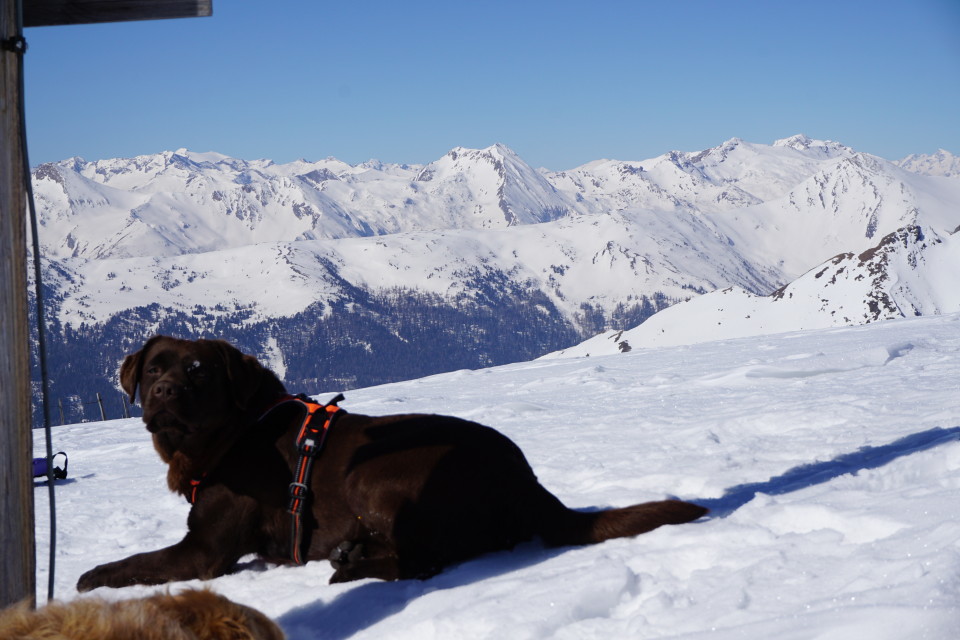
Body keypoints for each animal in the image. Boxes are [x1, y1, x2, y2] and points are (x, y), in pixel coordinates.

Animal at [77, 336, 704, 592]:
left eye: (199, 371)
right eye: (154, 368)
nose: (162, 392)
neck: (233, 435)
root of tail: (527, 480)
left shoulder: (203, 551)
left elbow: (133, 563)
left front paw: (86, 580)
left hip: (375, 472)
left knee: (424, 561)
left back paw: (349, 568)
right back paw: (351, 552)